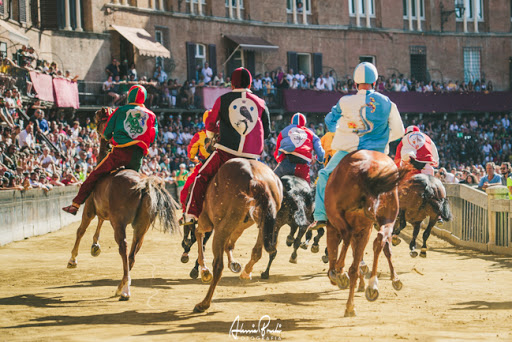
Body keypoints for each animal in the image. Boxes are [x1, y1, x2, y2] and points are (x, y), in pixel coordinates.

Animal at [67, 108, 180, 300]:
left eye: (102, 118)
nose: (94, 116)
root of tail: (144, 185)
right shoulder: (104, 212)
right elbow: (99, 223)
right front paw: (95, 246)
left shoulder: (89, 209)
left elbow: (80, 230)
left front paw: (73, 260)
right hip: (142, 227)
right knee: (133, 253)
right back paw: (121, 285)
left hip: (119, 223)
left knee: (124, 248)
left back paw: (125, 290)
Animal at [192, 158, 282, 312]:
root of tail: (255, 180)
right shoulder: (240, 225)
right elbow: (230, 244)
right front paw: (233, 263)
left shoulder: (207, 220)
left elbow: (199, 233)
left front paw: (204, 270)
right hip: (261, 221)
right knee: (257, 251)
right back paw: (246, 271)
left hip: (222, 226)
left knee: (218, 266)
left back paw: (204, 303)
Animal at [326, 151, 406, 316]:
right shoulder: (365, 228)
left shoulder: (337, 225)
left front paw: (337, 273)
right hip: (387, 215)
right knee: (379, 240)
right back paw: (370, 287)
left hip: (340, 216)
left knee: (347, 236)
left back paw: (340, 271)